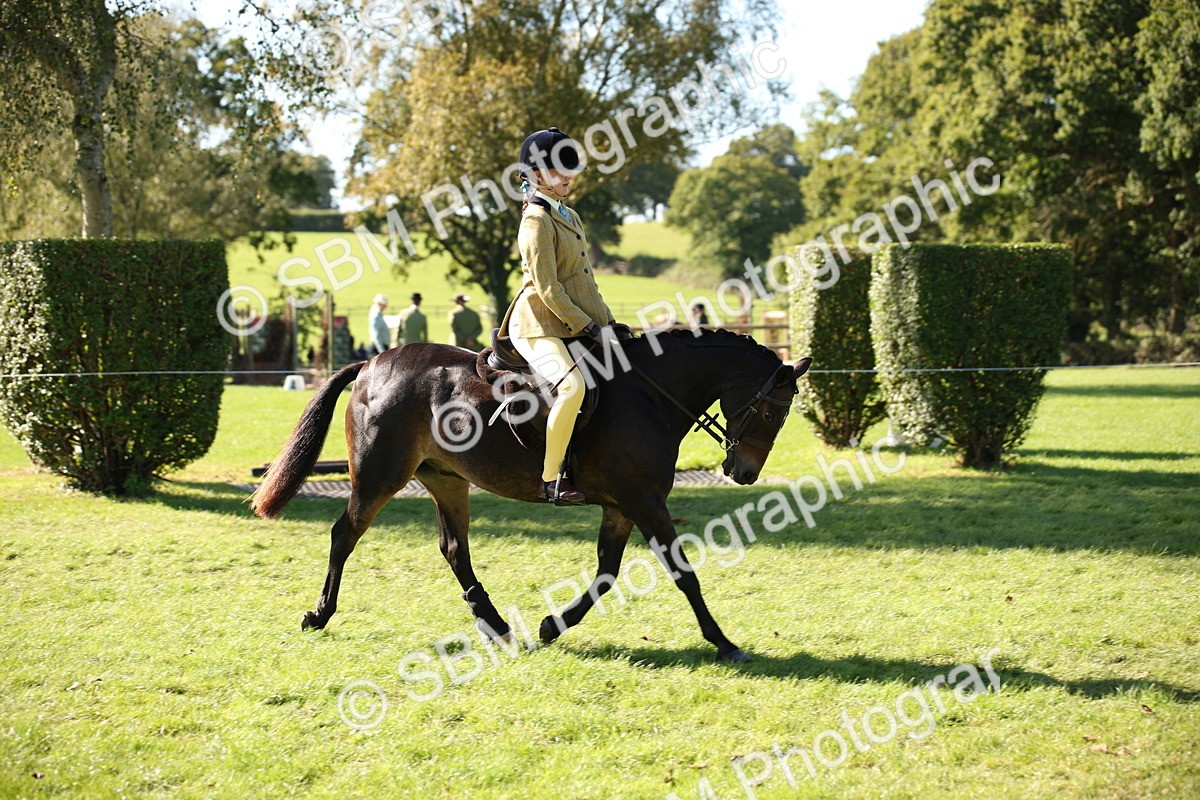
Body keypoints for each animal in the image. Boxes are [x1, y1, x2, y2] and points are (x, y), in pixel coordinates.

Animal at [251, 328, 811, 662]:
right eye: (771, 411)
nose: (743, 473)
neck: (648, 394)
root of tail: (371, 364)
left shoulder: (622, 506)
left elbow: (607, 574)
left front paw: (551, 625)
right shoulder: (644, 501)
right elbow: (682, 572)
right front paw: (724, 643)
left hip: (447, 480)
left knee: (454, 550)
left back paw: (496, 625)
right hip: (378, 476)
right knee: (344, 534)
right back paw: (319, 614)